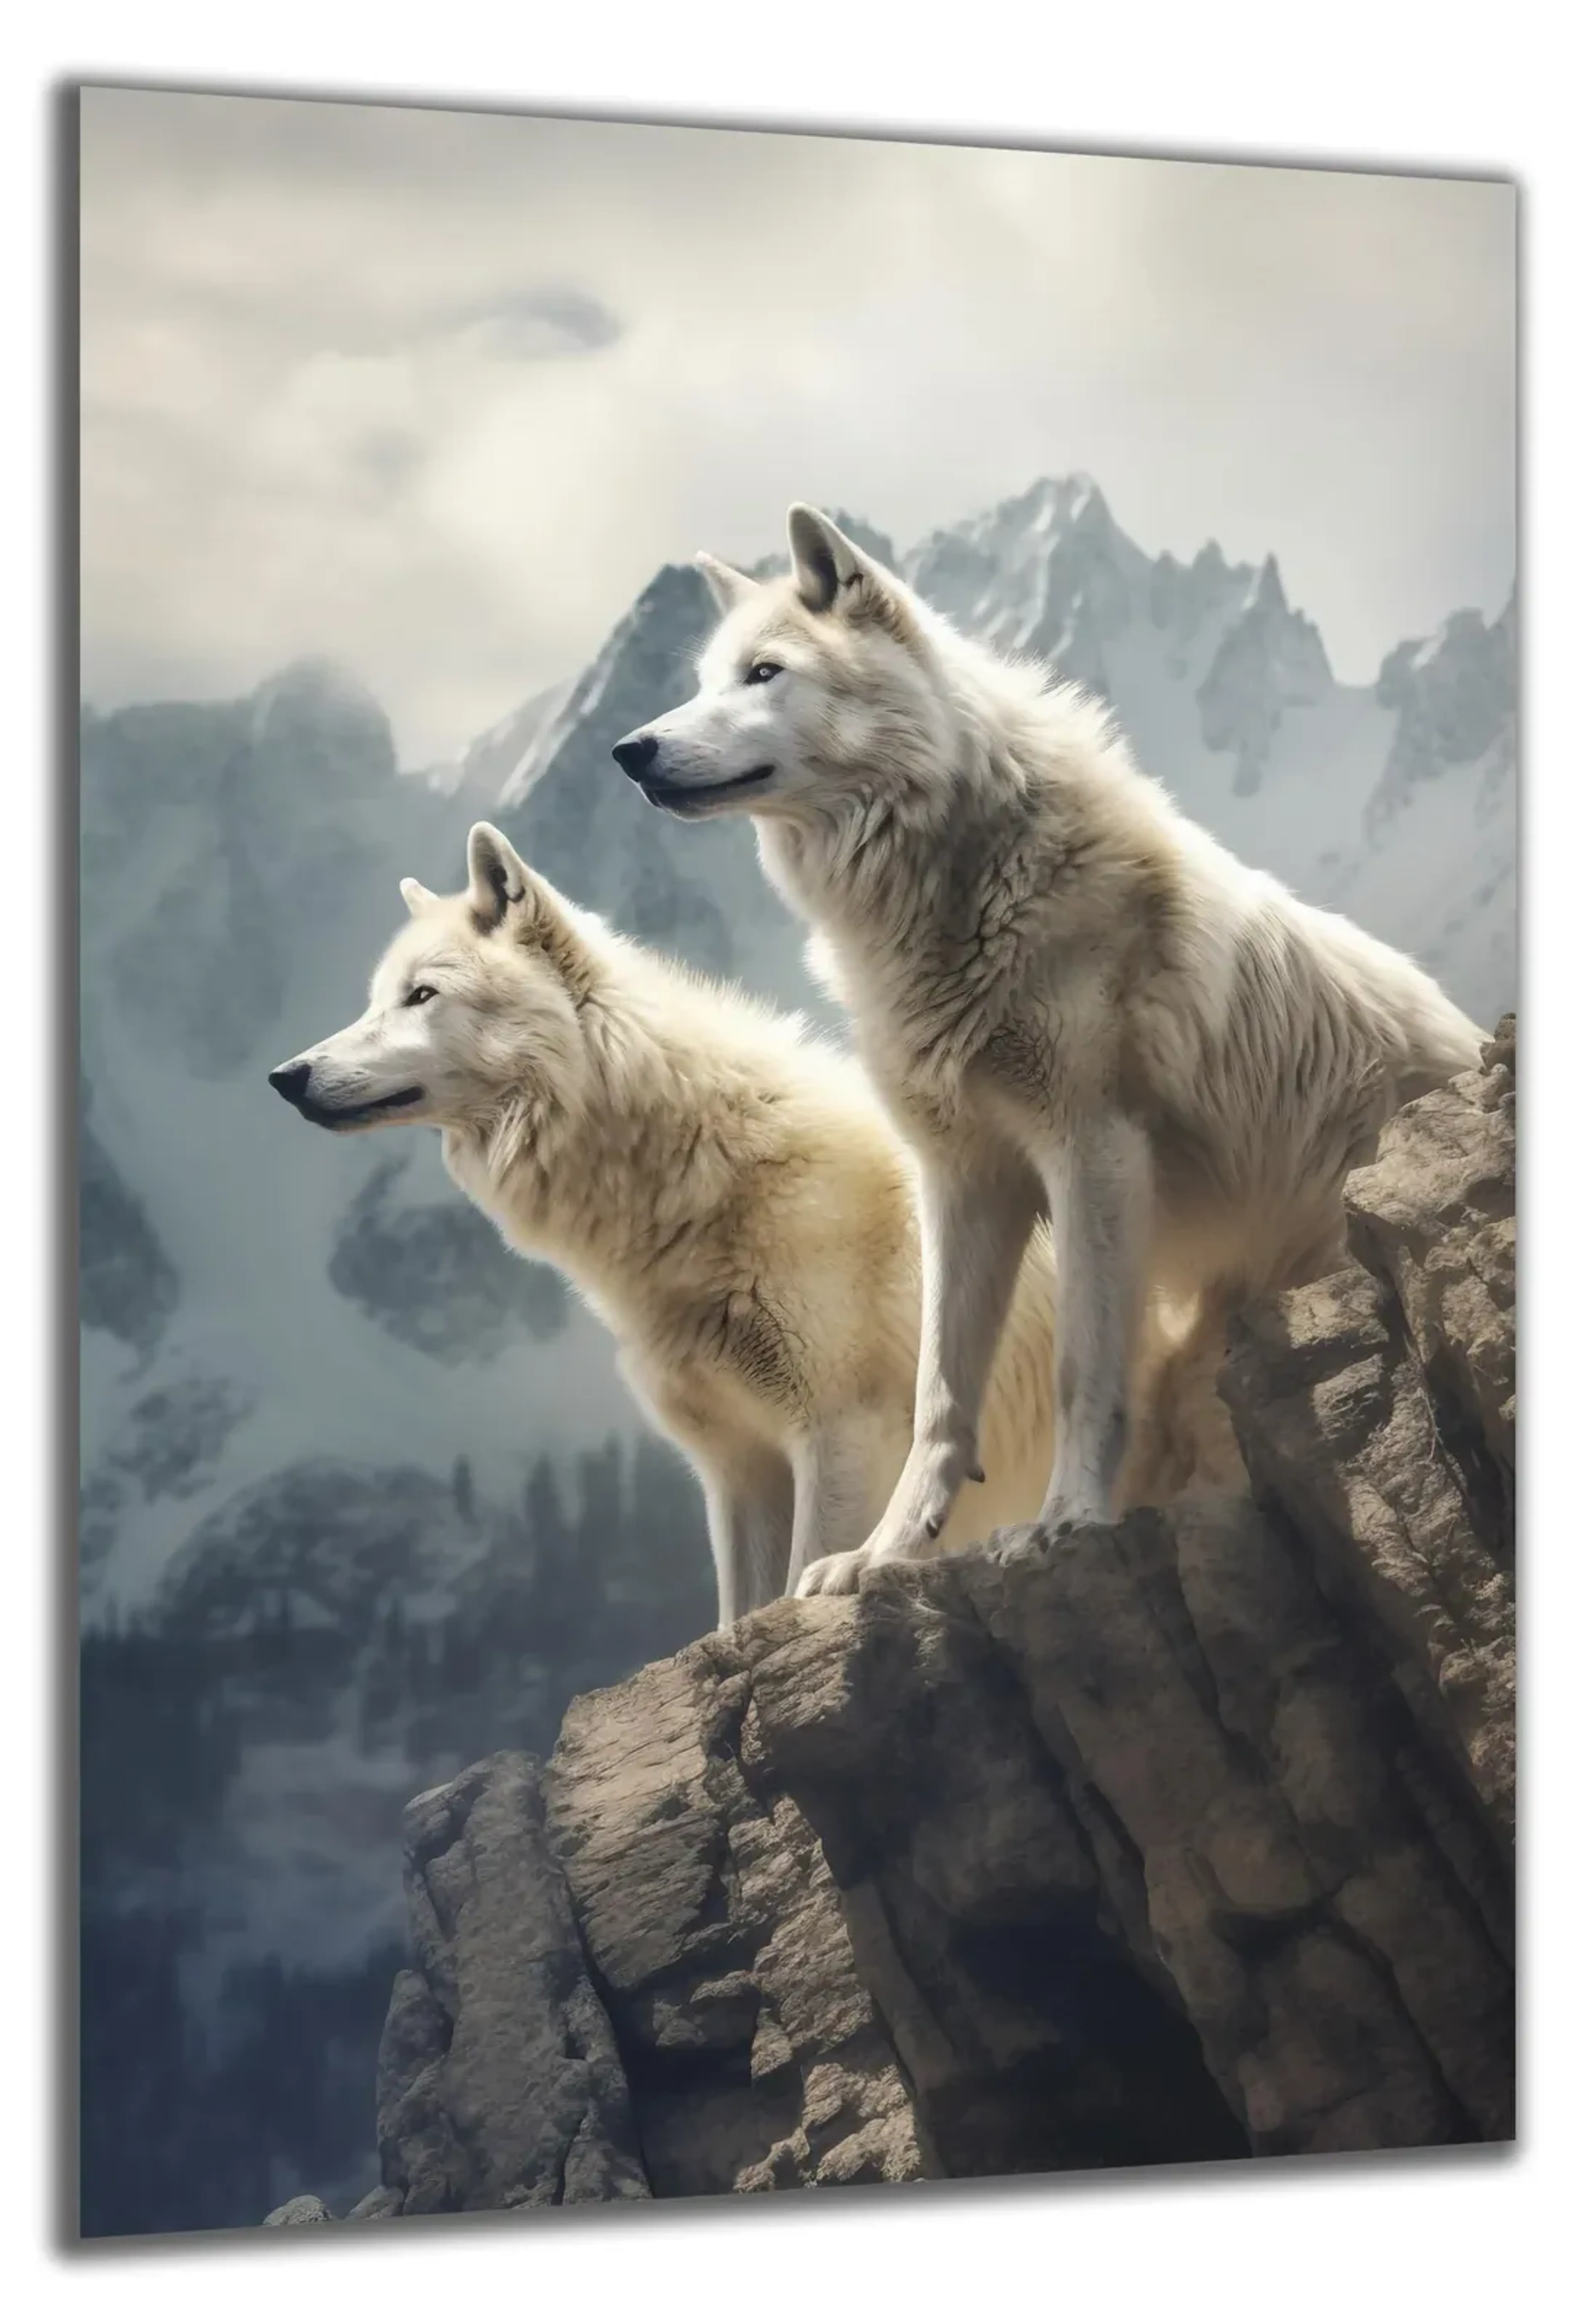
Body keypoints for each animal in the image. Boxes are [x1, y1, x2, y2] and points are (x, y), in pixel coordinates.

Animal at [267, 823, 1234, 1625]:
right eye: (376, 999)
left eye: (421, 995)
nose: (287, 1076)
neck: (698, 1179)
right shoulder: (736, 1469)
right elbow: (738, 1616)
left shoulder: (839, 1435)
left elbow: (800, 1578)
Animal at [611, 505, 1487, 1591]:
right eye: (703, 680)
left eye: (764, 673)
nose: (629, 749)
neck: (951, 885)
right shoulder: (962, 1181)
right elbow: (939, 1398)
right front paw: (880, 1555)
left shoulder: (1093, 1149)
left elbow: (1084, 1366)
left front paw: (1067, 1519)